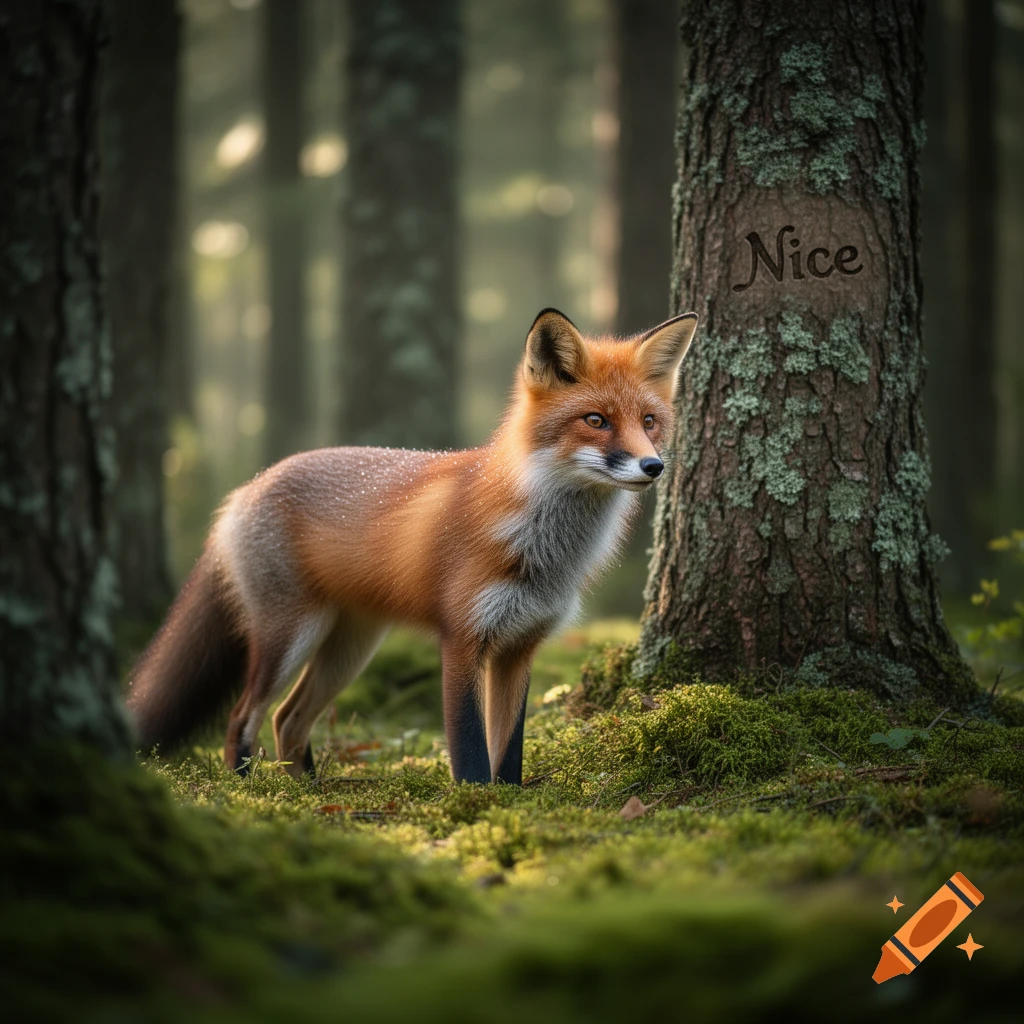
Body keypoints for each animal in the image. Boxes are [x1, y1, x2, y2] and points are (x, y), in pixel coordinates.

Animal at [127, 307, 698, 784]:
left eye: (649, 422)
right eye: (596, 421)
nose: (653, 467)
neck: (542, 547)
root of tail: (246, 489)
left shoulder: (520, 645)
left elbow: (508, 750)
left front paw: (509, 800)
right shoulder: (462, 638)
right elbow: (469, 749)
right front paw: (474, 807)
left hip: (350, 648)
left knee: (288, 719)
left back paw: (306, 793)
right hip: (290, 636)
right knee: (243, 717)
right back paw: (249, 791)